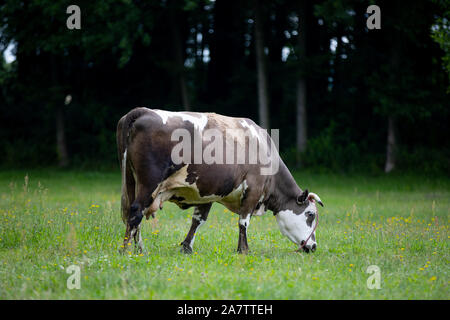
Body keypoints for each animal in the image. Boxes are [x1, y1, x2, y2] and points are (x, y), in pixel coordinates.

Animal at [115, 107, 320, 255]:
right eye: (310, 214)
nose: (314, 246)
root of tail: (144, 110)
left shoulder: (207, 193)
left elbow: (198, 220)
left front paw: (186, 247)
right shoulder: (252, 190)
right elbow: (243, 222)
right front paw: (243, 250)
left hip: (132, 182)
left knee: (133, 215)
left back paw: (139, 249)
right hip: (149, 184)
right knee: (136, 211)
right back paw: (127, 250)